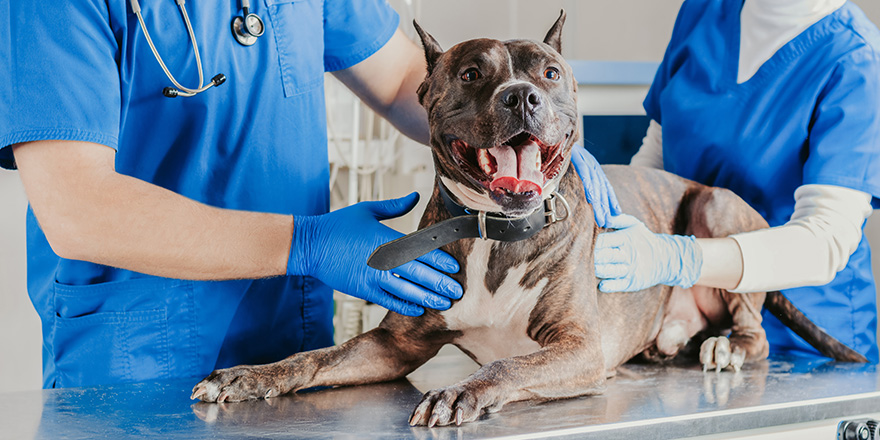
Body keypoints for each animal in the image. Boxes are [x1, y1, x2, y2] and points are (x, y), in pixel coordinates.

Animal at [192, 12, 868, 426]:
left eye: (550, 72)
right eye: (471, 73)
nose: (522, 96)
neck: (496, 232)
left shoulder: (579, 348)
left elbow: (507, 363)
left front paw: (459, 391)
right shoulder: (393, 345)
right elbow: (311, 359)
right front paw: (247, 376)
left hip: (716, 207)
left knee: (754, 324)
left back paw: (727, 346)